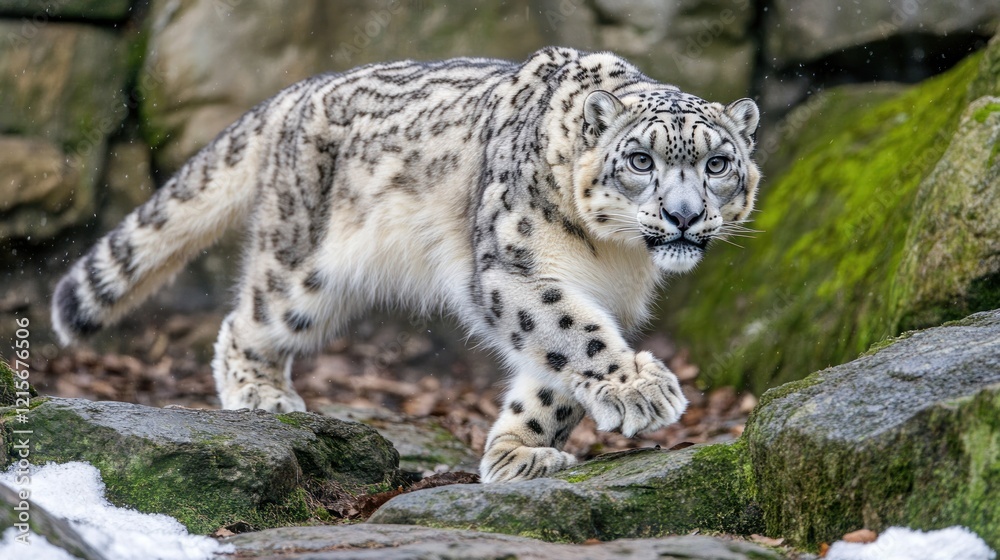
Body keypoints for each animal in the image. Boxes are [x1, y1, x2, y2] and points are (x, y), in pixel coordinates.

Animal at [52, 47, 761, 483]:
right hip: (303, 266)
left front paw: (519, 453)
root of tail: (297, 91)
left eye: (717, 163)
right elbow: (570, 332)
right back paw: (262, 394)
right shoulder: (511, 268)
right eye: (640, 160)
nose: (683, 215)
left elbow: (553, 373)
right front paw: (640, 390)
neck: (614, 255)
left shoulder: (601, 294)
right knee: (246, 321)